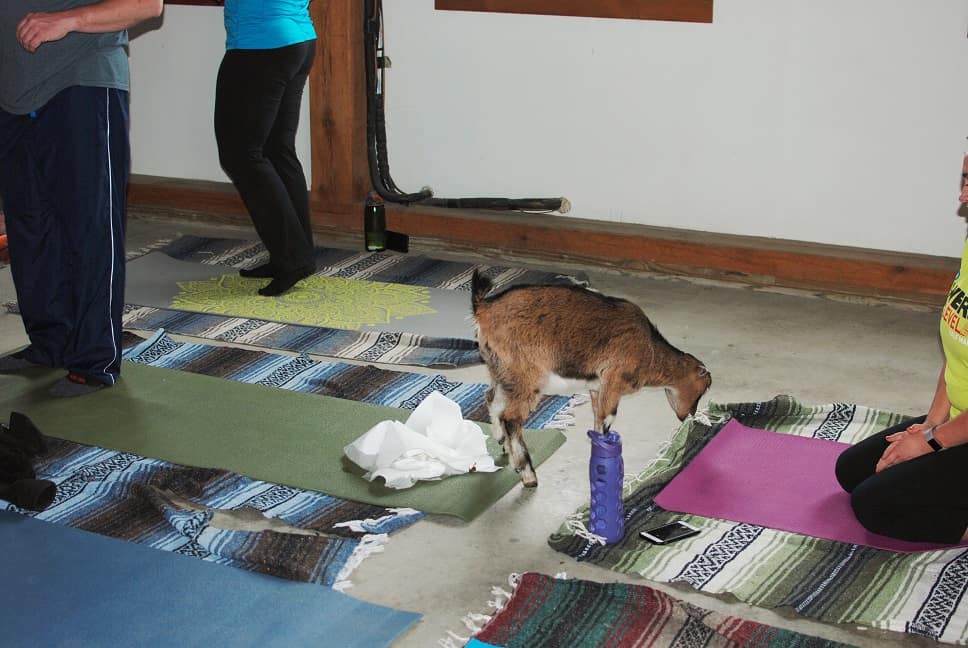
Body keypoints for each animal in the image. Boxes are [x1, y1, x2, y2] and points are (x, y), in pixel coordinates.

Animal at [468, 270, 712, 488]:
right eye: (703, 388)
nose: (688, 415)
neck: (650, 350)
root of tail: (484, 308)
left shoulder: (598, 387)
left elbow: (597, 420)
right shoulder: (613, 381)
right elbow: (607, 419)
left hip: (501, 371)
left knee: (491, 399)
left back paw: (502, 443)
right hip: (526, 375)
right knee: (511, 418)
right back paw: (528, 474)